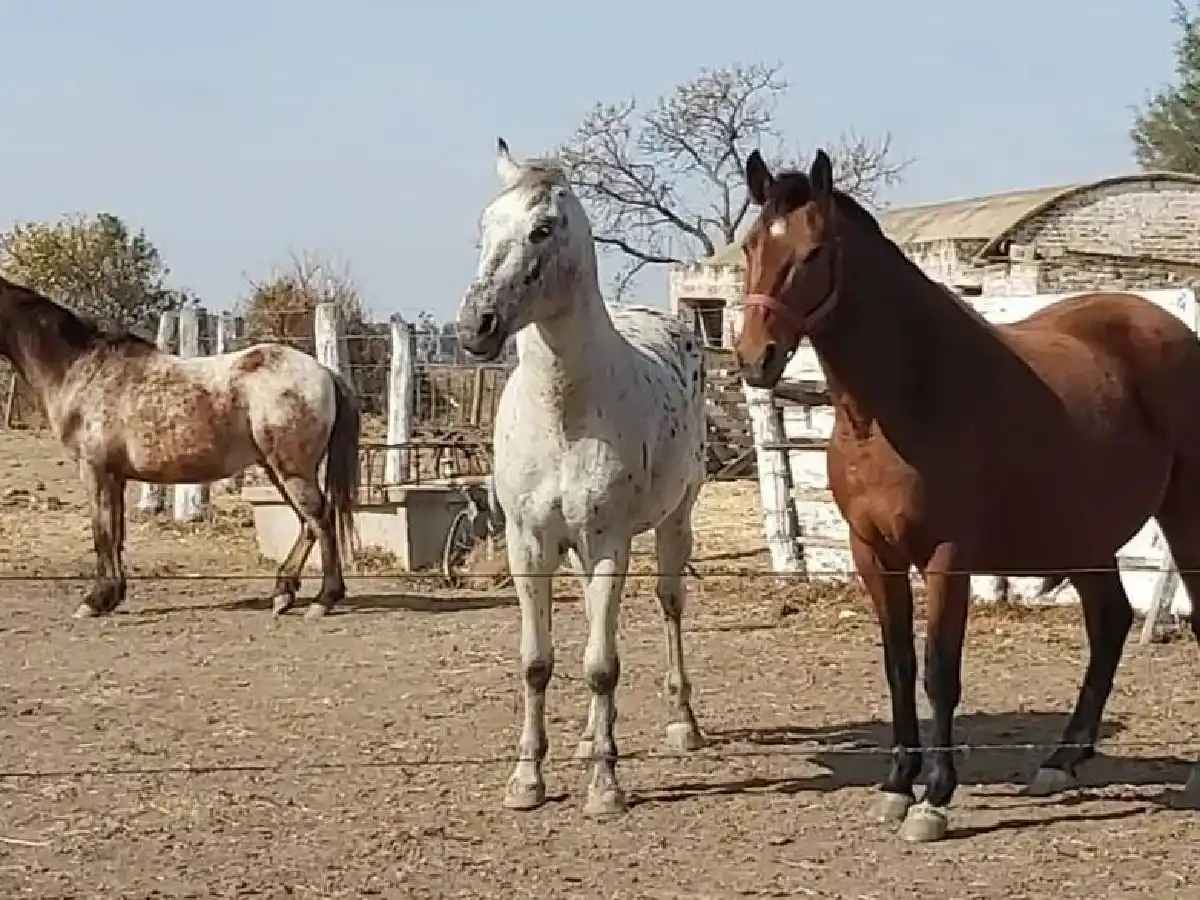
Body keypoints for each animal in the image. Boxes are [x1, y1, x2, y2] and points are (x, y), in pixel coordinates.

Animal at [0, 278, 361, 620]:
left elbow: (101, 534)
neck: (80, 369)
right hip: (276, 469)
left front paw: (94, 600)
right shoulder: (115, 476)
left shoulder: (95, 470)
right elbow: (115, 534)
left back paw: (323, 600)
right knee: (308, 523)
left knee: (320, 518)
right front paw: (112, 595)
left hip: (290, 467)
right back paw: (283, 594)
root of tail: (325, 372)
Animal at [455, 139, 709, 817]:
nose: (475, 326)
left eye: (543, 229)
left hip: (676, 520)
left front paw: (605, 789)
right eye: (485, 224)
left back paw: (684, 725)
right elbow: (536, 662)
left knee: (669, 605)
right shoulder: (529, 543)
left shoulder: (609, 544)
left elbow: (601, 665)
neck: (565, 414)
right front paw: (527, 780)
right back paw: (592, 737)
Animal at [732, 148, 1200, 843]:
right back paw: (1060, 762)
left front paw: (934, 798)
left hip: (1184, 515)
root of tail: (1171, 328)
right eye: (750, 246)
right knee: (1109, 622)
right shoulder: (873, 553)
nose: (754, 358)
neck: (905, 396)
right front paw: (897, 786)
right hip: (1083, 534)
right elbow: (899, 666)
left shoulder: (948, 557)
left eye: (814, 252)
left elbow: (938, 670)